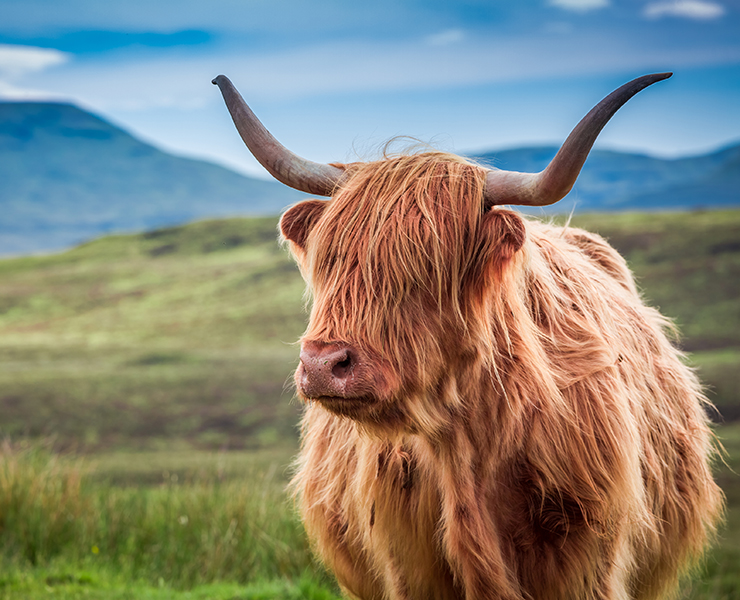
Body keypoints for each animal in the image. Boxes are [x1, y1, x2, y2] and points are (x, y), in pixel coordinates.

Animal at [214, 71, 724, 600]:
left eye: (427, 264)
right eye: (328, 260)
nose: (322, 365)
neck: (466, 446)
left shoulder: (589, 563)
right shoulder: (405, 566)